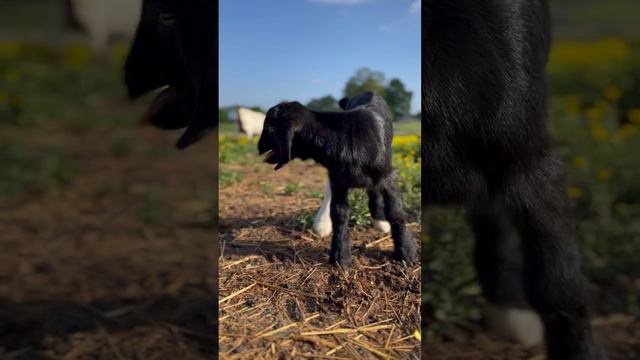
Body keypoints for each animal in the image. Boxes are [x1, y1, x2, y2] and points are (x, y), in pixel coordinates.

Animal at [258, 91, 418, 268]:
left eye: (268, 127)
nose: (258, 146)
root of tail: (367, 92)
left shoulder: (388, 176)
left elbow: (396, 212)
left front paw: (406, 253)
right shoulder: (337, 180)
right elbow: (339, 213)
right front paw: (340, 257)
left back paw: (379, 220)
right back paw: (322, 223)